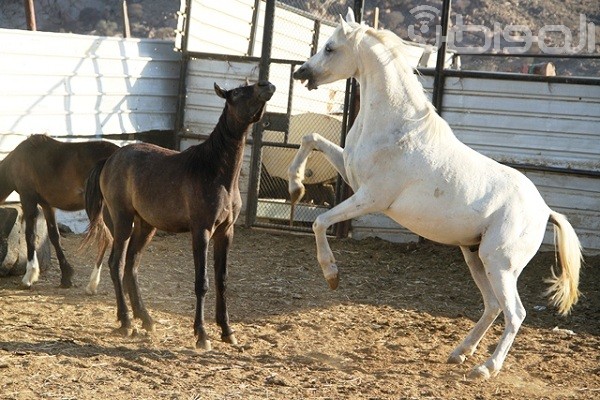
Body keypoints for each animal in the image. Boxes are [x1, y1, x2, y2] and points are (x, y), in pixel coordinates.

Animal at [0, 134, 118, 288]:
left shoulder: (28, 199)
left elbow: (30, 235)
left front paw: (29, 276)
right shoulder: (47, 205)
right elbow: (54, 236)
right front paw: (66, 276)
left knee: (109, 240)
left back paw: (94, 284)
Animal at [85, 79, 276, 348]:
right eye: (238, 92)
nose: (267, 84)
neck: (216, 172)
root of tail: (109, 160)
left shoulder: (225, 232)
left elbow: (222, 280)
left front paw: (227, 331)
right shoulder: (201, 231)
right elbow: (202, 282)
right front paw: (202, 335)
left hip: (146, 226)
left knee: (131, 266)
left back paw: (146, 319)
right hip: (123, 222)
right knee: (116, 264)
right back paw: (126, 322)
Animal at [288, 8, 584, 378]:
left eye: (330, 48)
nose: (301, 72)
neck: (395, 127)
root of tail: (546, 211)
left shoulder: (371, 198)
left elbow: (320, 223)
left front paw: (332, 275)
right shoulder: (350, 172)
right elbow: (311, 138)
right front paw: (295, 186)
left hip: (499, 263)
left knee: (515, 313)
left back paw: (486, 368)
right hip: (475, 256)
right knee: (492, 306)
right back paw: (460, 353)